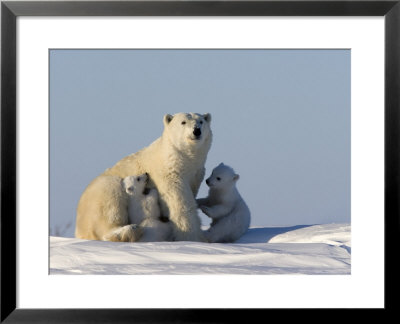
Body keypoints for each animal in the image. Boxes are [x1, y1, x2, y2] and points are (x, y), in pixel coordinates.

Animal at [75, 112, 212, 242]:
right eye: (183, 122)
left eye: (201, 121)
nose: (197, 130)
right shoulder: (169, 174)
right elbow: (179, 202)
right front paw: (193, 237)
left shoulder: (196, 174)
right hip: (102, 193)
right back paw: (130, 229)